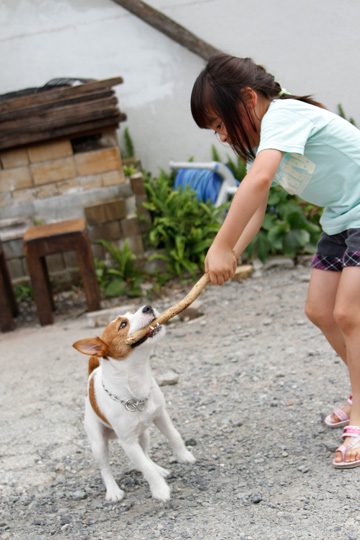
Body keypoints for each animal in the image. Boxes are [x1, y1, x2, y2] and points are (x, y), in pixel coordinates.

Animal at [73, 304, 195, 502]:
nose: (147, 307)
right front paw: (160, 490)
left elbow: (174, 436)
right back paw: (113, 491)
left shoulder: (161, 416)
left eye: (132, 312)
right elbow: (145, 468)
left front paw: (184, 456)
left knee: (145, 454)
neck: (136, 382)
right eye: (123, 324)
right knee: (106, 468)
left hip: (144, 435)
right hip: (99, 444)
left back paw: (159, 469)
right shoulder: (128, 442)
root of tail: (92, 374)